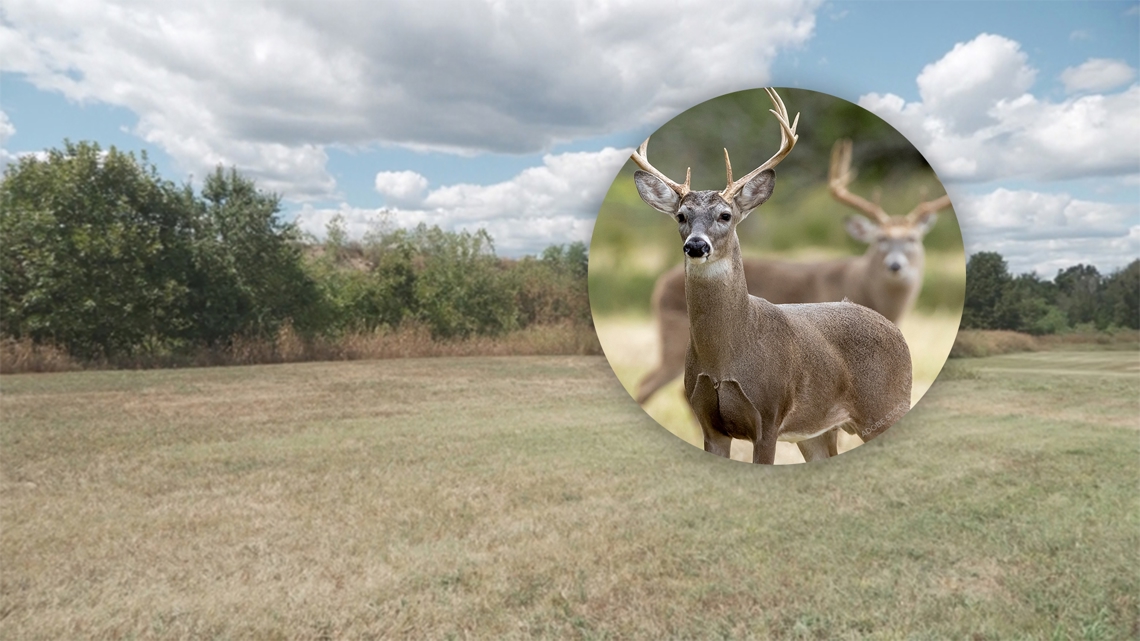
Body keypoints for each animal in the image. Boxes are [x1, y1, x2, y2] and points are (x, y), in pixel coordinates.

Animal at [629, 88, 912, 464]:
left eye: (725, 215)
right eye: (680, 216)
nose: (696, 245)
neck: (725, 358)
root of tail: (895, 329)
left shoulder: (769, 415)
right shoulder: (710, 425)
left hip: (888, 406)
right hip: (818, 430)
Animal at [635, 138, 949, 406]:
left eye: (913, 239)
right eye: (680, 216)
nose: (696, 246)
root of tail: (659, 284)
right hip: (673, 336)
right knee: (649, 384)